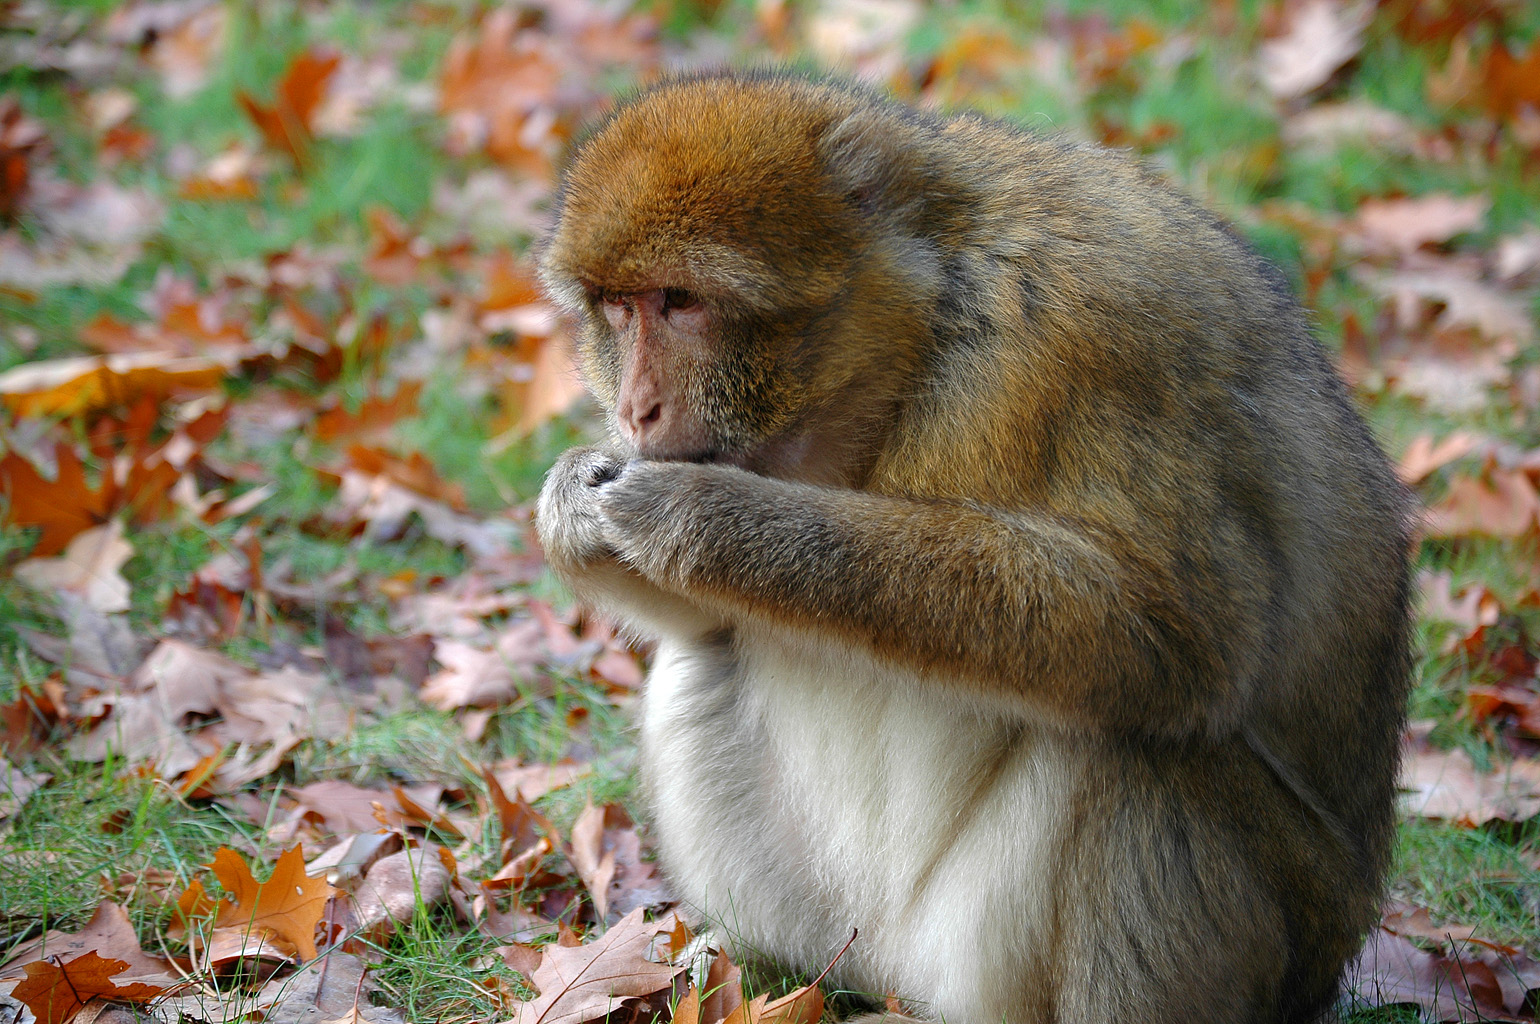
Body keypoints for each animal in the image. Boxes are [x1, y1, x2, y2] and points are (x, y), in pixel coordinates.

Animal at [535, 73, 1410, 1022]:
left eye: (681, 303)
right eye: (618, 308)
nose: (635, 409)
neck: (927, 327)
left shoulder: (1078, 342)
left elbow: (1176, 630)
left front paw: (702, 517)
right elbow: (706, 617)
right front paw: (573, 504)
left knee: (1136, 750)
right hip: (854, 935)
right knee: (706, 654)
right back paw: (757, 964)